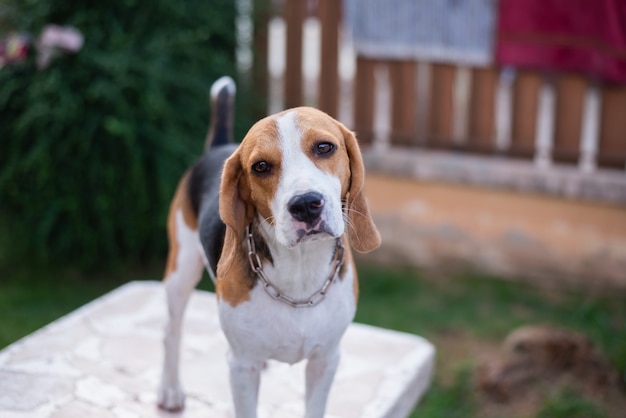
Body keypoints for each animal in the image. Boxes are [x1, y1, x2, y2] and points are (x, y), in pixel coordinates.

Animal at [158, 76, 378, 416]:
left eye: (324, 147)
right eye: (260, 166)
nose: (306, 205)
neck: (300, 272)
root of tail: (220, 146)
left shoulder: (326, 360)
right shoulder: (241, 367)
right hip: (180, 273)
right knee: (171, 332)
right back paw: (170, 389)